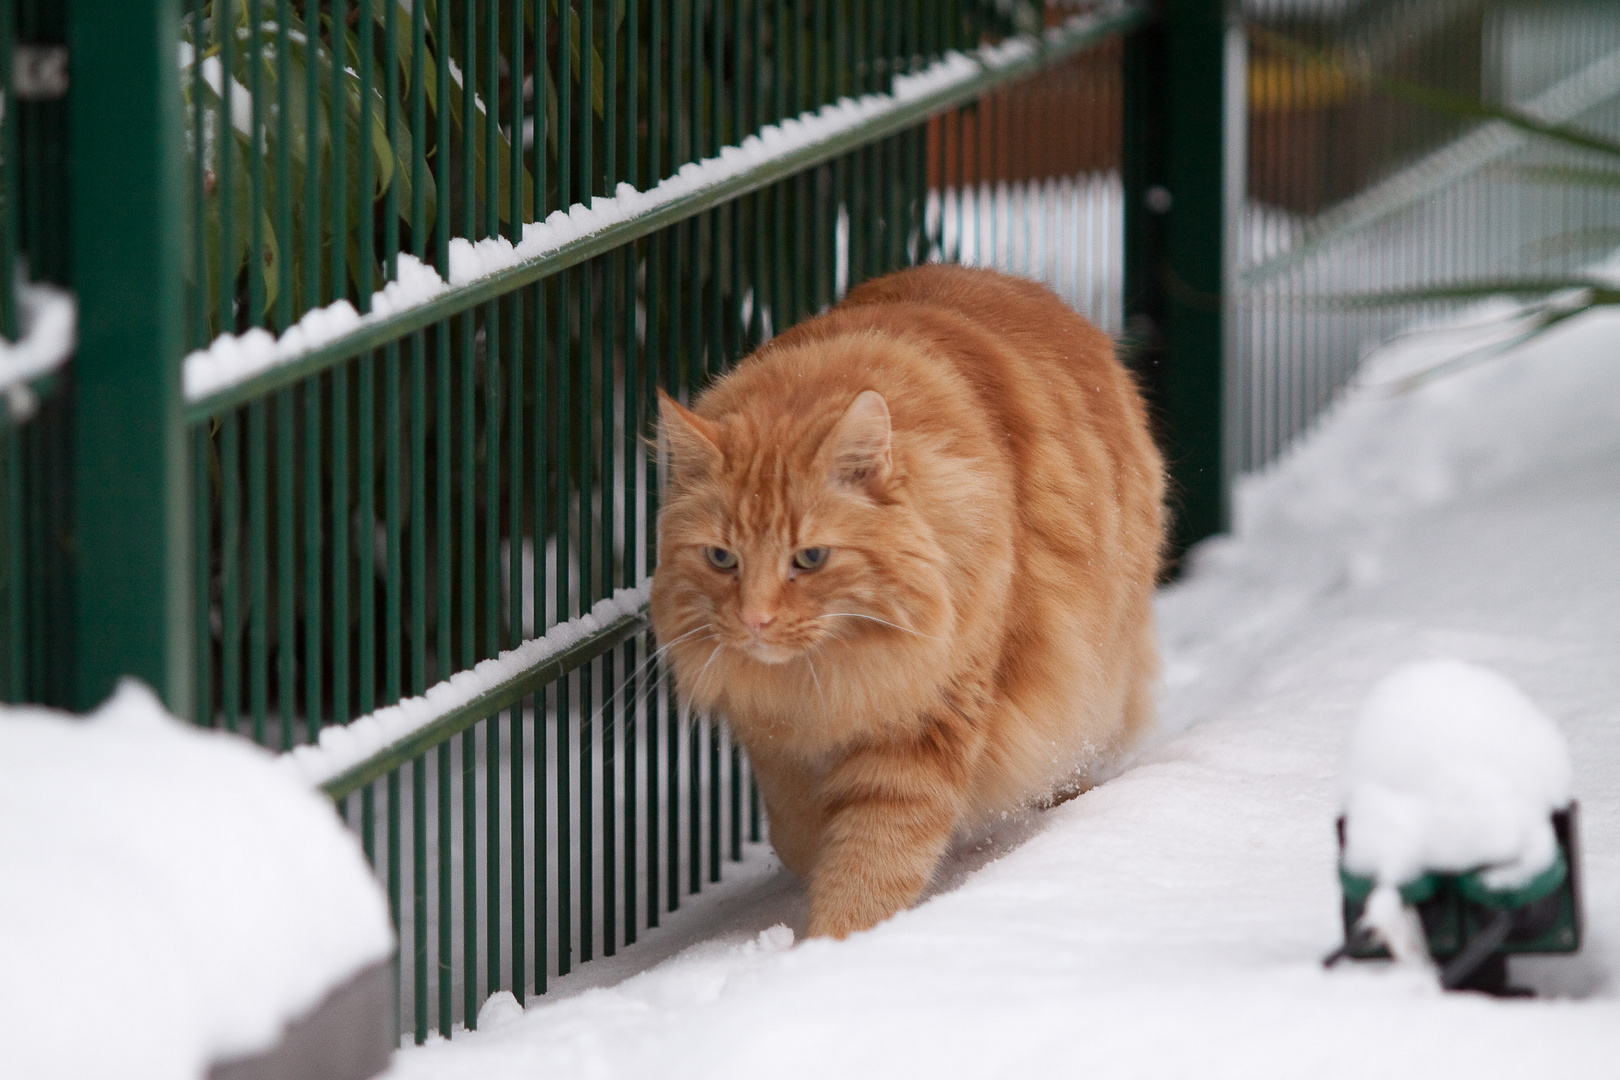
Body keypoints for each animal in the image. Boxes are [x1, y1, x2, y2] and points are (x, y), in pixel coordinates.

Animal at [644, 262, 1166, 939]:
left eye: (810, 558)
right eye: (721, 559)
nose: (755, 620)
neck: (829, 677)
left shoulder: (925, 722)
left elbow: (873, 861)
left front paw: (832, 949)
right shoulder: (777, 736)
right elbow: (798, 831)